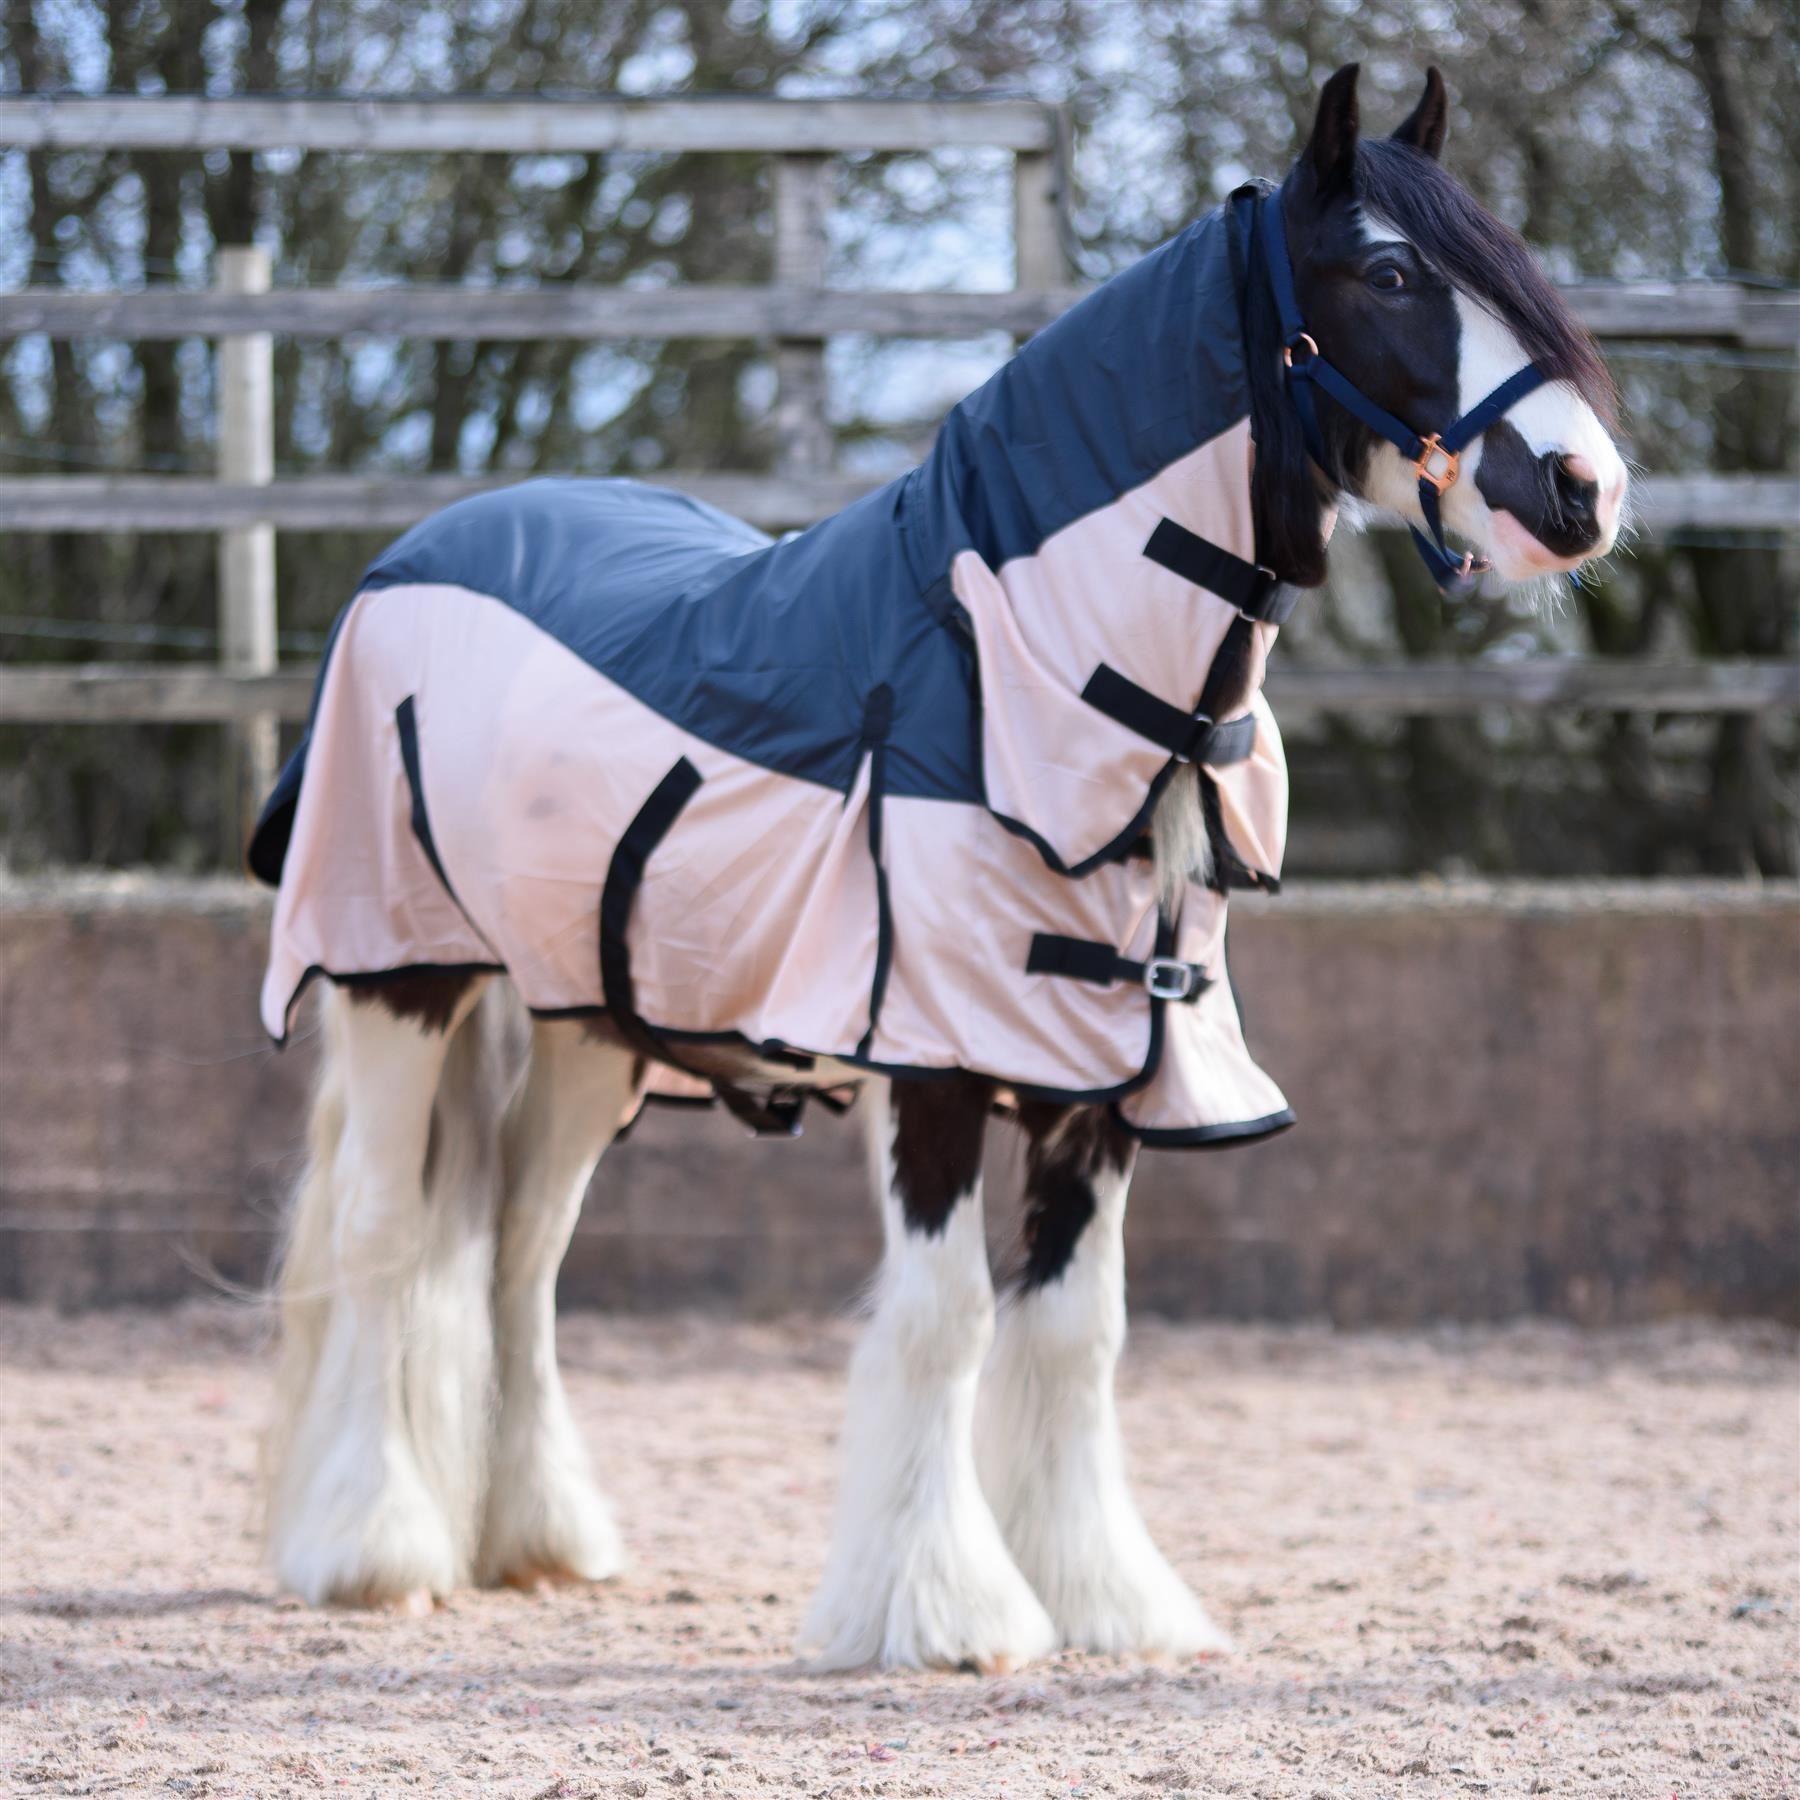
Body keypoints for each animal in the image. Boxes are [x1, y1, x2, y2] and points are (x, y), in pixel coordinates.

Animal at [253, 64, 1626, 1671]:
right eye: (1396, 273)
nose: (1585, 492)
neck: (1017, 664)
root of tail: (411, 556)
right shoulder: (940, 1056)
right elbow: (945, 1318)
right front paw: (939, 1609)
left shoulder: (1114, 1067)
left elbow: (1076, 1329)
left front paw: (1105, 1599)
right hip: (396, 972)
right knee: (384, 1231)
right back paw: (373, 1552)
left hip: (592, 1017)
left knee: (520, 1253)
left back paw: (541, 1541)